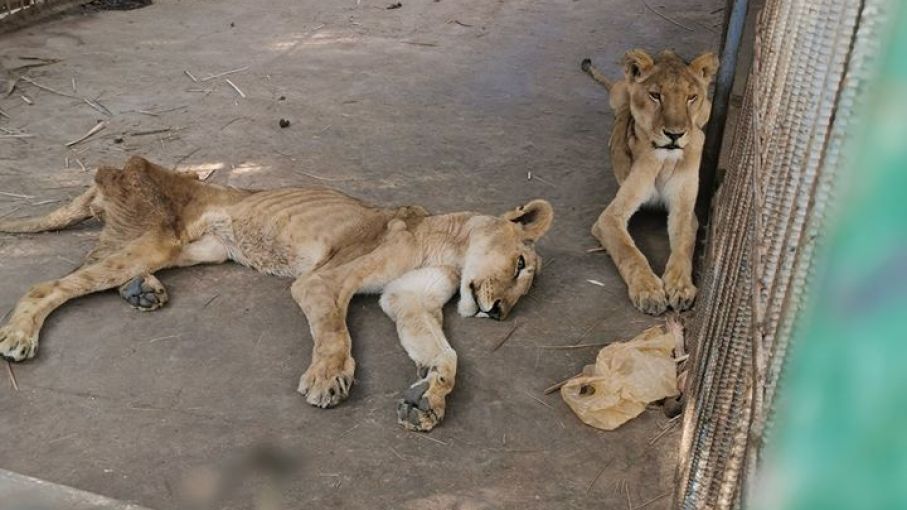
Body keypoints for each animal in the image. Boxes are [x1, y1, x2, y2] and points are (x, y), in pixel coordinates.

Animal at [0, 156, 552, 430]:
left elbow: (445, 355)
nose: (499, 313)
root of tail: (115, 169)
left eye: (524, 289)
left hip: (194, 251)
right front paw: (328, 379)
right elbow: (335, 333)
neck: (447, 249)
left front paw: (427, 399)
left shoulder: (406, 300)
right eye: (521, 265)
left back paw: (142, 290)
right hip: (151, 237)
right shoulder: (321, 280)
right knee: (51, 283)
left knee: (99, 268)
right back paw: (19, 337)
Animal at [584, 49, 720, 312]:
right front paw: (648, 291)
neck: (665, 160)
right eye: (656, 95)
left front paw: (680, 287)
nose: (675, 135)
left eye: (691, 97)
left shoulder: (684, 211)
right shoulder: (609, 218)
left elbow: (683, 245)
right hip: (619, 94)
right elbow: (629, 252)